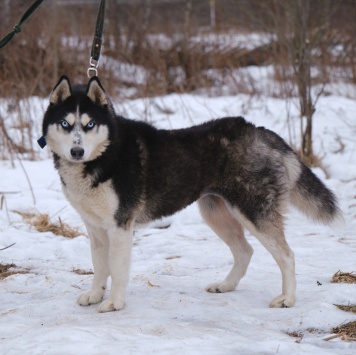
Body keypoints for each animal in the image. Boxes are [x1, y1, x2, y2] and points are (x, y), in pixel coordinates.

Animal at [40, 76, 344, 312]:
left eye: (89, 125)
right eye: (66, 124)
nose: (76, 151)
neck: (105, 155)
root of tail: (259, 131)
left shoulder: (120, 226)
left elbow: (116, 268)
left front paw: (114, 302)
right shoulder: (95, 227)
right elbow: (100, 266)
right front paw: (94, 295)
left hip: (254, 213)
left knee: (287, 255)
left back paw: (287, 299)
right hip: (215, 213)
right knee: (245, 250)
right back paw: (226, 285)